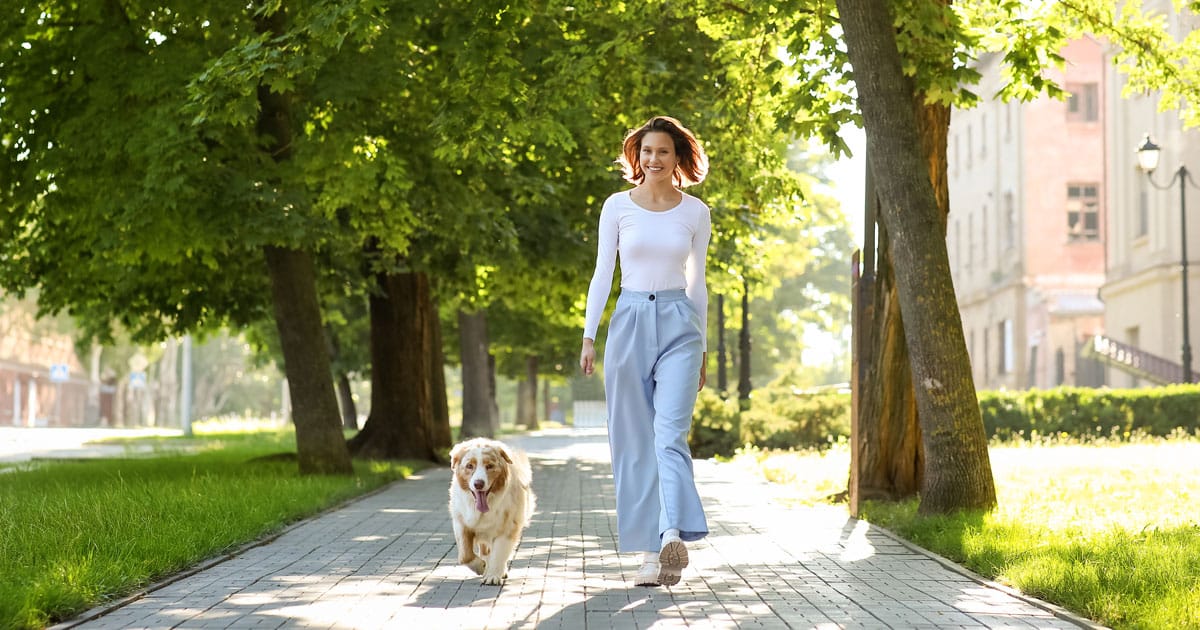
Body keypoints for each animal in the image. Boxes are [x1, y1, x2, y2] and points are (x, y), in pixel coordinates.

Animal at [448, 434, 537, 583]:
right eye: (469, 466)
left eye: (489, 466)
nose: (478, 484)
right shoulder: (461, 522)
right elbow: (465, 556)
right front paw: (481, 566)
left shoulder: (508, 526)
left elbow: (499, 553)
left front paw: (493, 575)